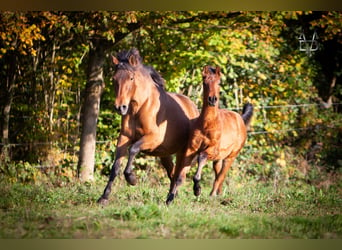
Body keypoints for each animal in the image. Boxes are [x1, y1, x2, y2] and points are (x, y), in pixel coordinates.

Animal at [97, 48, 199, 205]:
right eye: (114, 79)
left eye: (131, 78)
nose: (120, 107)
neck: (140, 107)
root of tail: (193, 107)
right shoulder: (124, 137)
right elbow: (115, 166)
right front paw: (104, 197)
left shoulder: (153, 138)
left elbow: (133, 149)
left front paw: (131, 179)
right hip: (165, 154)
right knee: (173, 173)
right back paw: (170, 197)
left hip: (186, 152)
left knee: (180, 175)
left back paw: (177, 197)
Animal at [167, 65, 252, 204]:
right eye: (205, 82)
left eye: (219, 82)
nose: (212, 99)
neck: (207, 125)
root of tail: (240, 118)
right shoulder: (190, 151)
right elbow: (180, 176)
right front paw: (169, 199)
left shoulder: (212, 151)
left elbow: (201, 157)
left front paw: (197, 190)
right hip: (219, 160)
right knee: (218, 174)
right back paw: (218, 193)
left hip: (230, 157)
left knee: (221, 176)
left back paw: (212, 195)